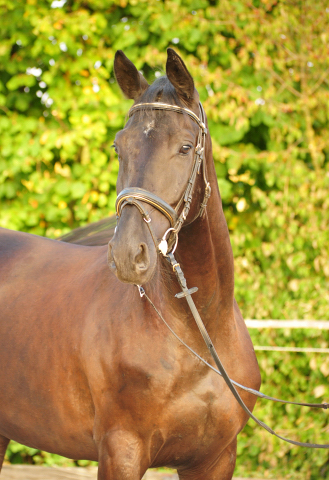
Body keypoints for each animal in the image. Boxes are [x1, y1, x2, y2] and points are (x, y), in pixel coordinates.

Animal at [0, 49, 260, 480]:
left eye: (185, 147)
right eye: (119, 147)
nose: (127, 253)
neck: (196, 335)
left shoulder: (217, 458)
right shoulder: (122, 450)